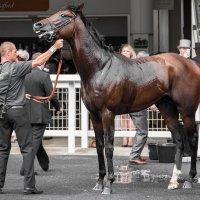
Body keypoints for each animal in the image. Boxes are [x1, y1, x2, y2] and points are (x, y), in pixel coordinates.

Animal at [33, 2, 200, 194]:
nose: (38, 26)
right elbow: (99, 147)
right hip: (167, 108)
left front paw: (109, 184)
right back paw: (173, 181)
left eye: (64, 16)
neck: (99, 68)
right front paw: (99, 182)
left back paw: (189, 179)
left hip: (187, 111)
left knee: (192, 140)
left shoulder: (108, 114)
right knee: (179, 140)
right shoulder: (94, 115)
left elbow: (109, 147)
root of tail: (191, 64)